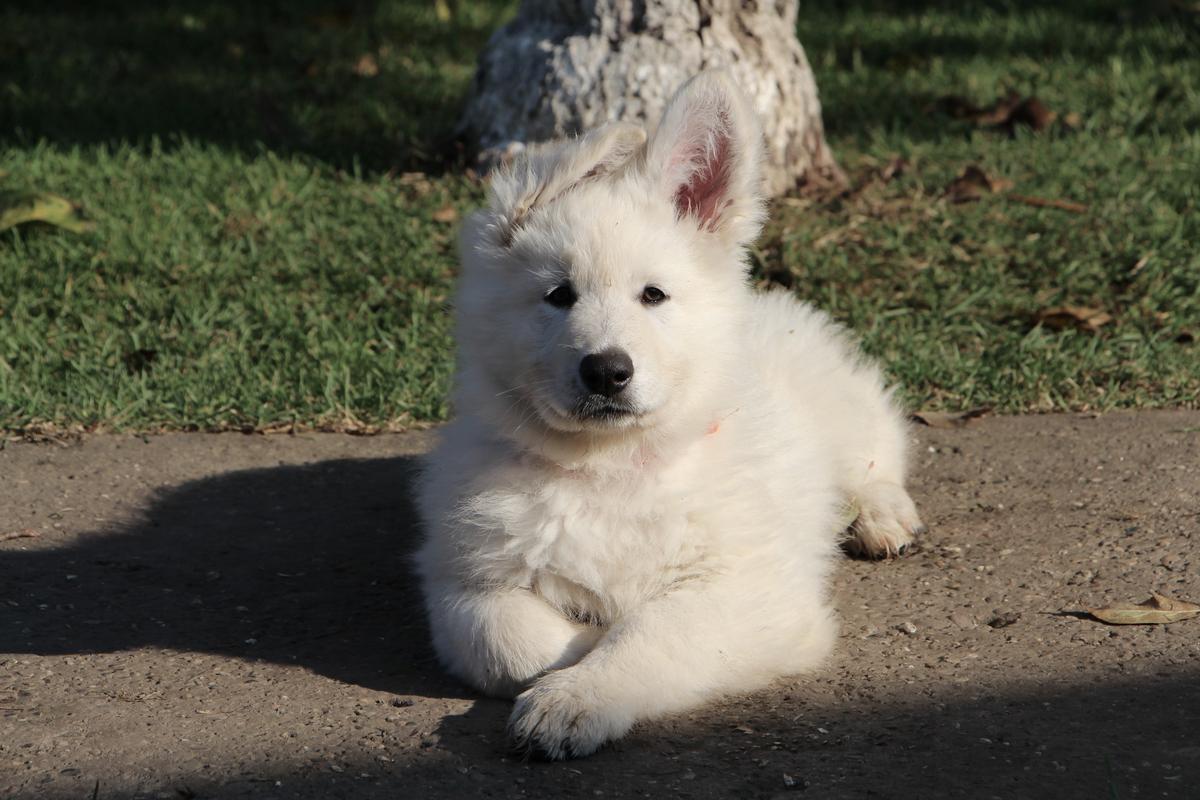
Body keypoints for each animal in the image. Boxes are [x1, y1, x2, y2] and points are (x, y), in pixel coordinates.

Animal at [417, 71, 921, 762]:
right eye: (558, 296)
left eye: (653, 295)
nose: (607, 372)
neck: (609, 467)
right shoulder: (459, 584)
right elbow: (506, 639)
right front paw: (572, 655)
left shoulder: (747, 590)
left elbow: (651, 635)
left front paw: (577, 696)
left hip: (839, 405)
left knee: (878, 453)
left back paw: (881, 517)